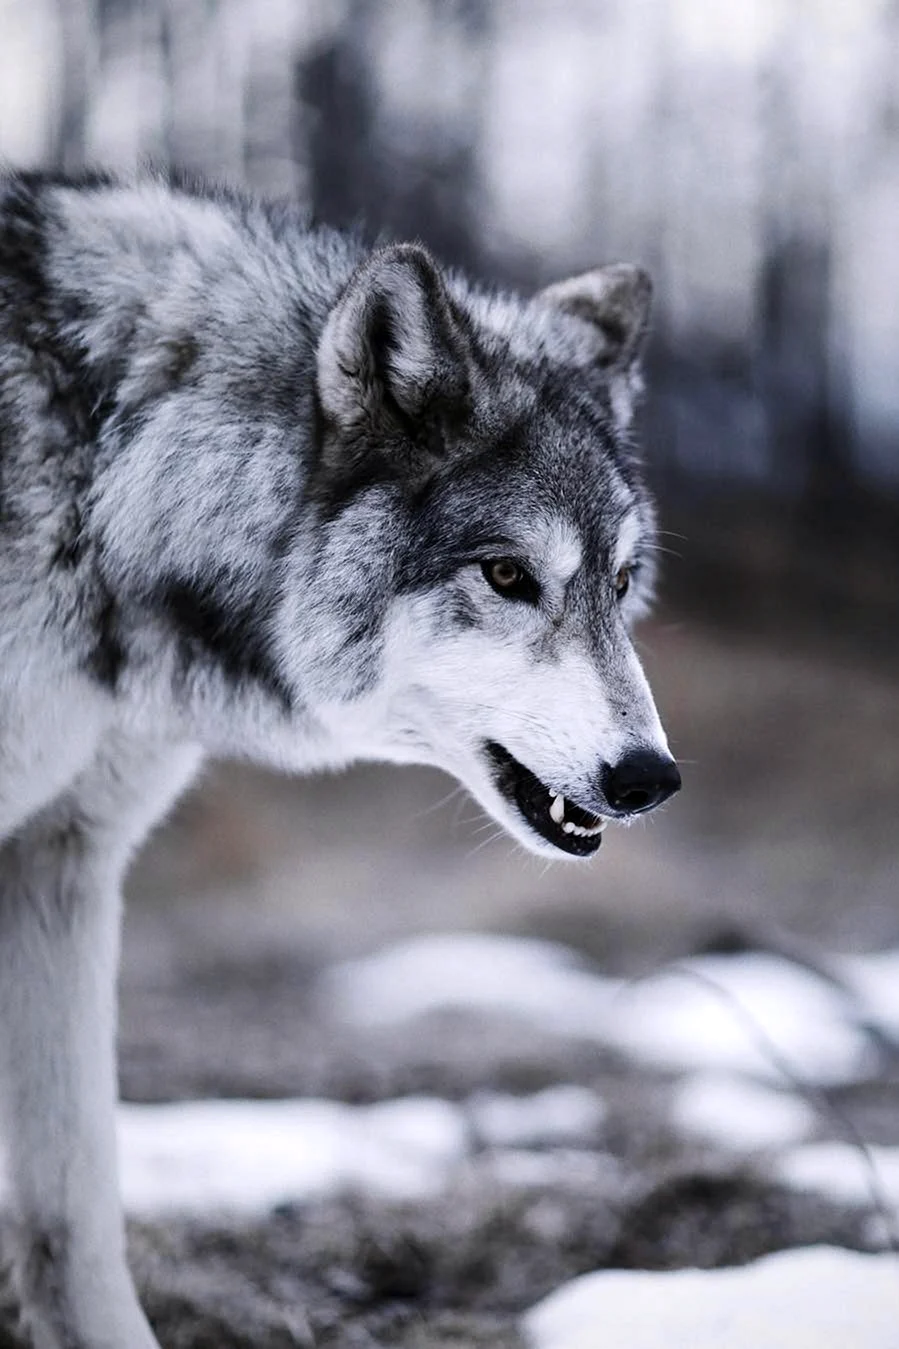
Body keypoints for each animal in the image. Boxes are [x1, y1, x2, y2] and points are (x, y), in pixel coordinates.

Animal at [0, 169, 680, 1347]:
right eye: (508, 574)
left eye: (620, 578)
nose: (649, 777)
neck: (107, 463)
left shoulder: (64, 861)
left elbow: (72, 1202)